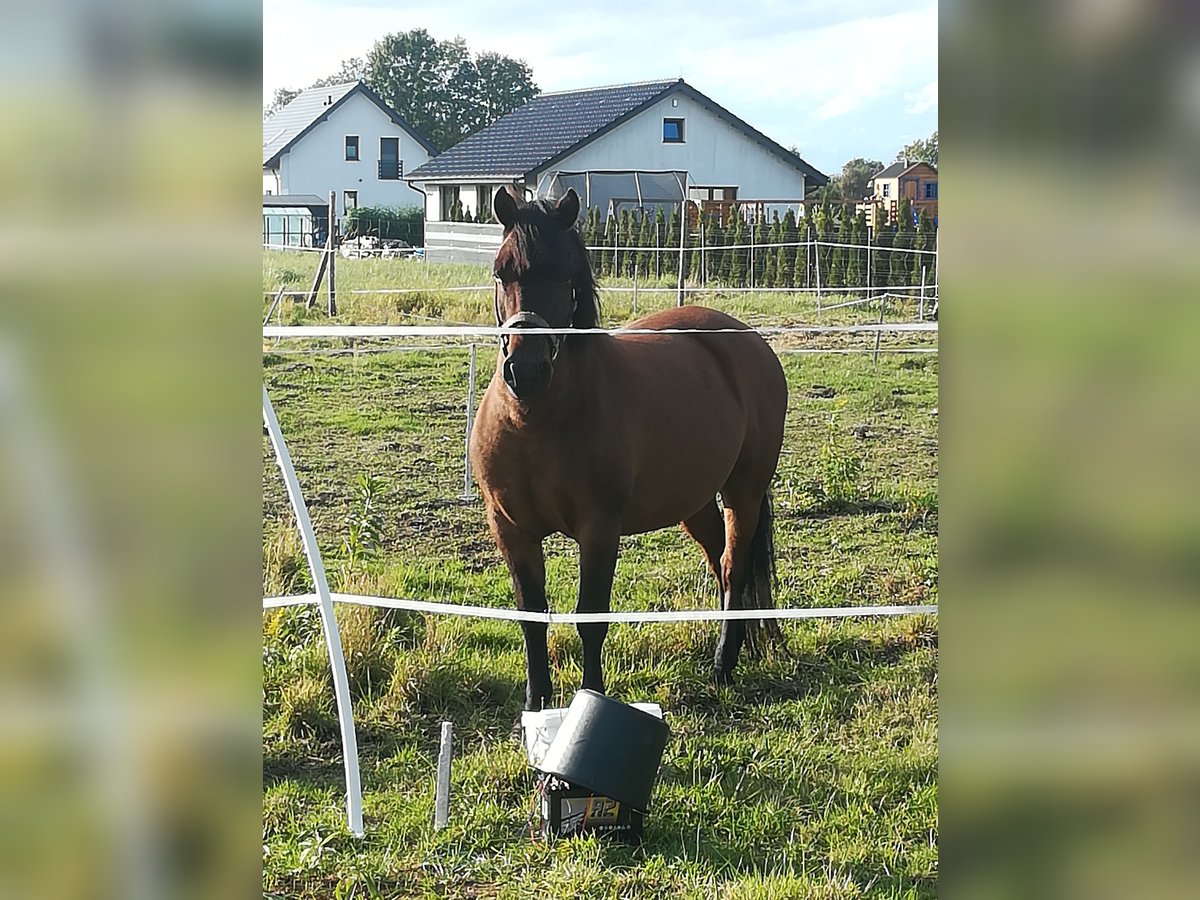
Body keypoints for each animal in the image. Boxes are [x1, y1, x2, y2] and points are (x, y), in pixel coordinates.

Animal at [468, 188, 787, 710]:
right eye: (501, 272)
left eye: (566, 275)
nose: (526, 371)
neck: (537, 421)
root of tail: (747, 340)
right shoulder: (511, 528)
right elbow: (531, 615)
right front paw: (535, 705)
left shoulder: (600, 530)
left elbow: (590, 618)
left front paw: (590, 698)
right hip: (694, 502)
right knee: (721, 567)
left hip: (745, 491)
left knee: (735, 567)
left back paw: (723, 665)